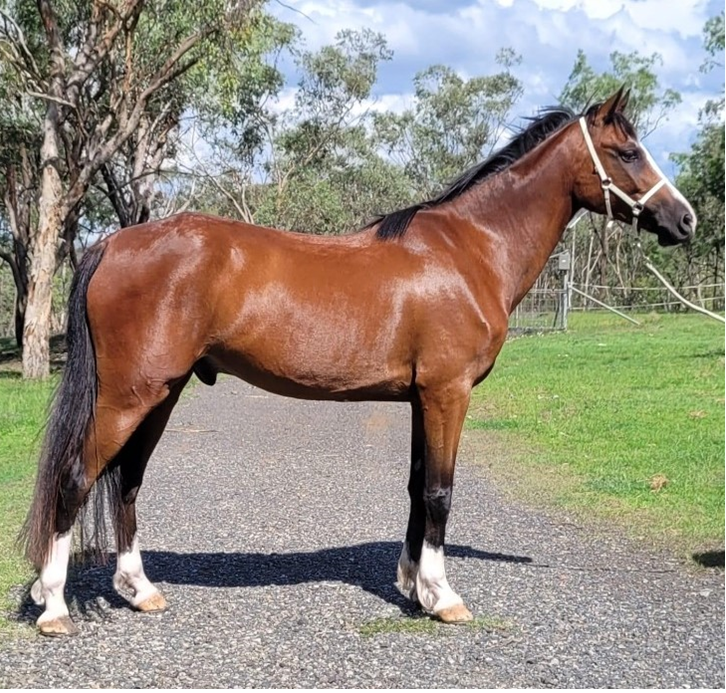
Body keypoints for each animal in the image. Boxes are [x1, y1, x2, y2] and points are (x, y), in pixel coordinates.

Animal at [22, 87, 696, 636]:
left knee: (127, 480)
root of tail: (113, 241)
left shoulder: (425, 397)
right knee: (77, 477)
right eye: (627, 152)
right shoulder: (449, 393)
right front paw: (444, 596)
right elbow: (440, 491)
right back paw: (53, 604)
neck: (470, 251)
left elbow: (417, 487)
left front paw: (415, 586)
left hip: (162, 392)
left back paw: (139, 591)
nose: (685, 220)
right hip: (128, 395)